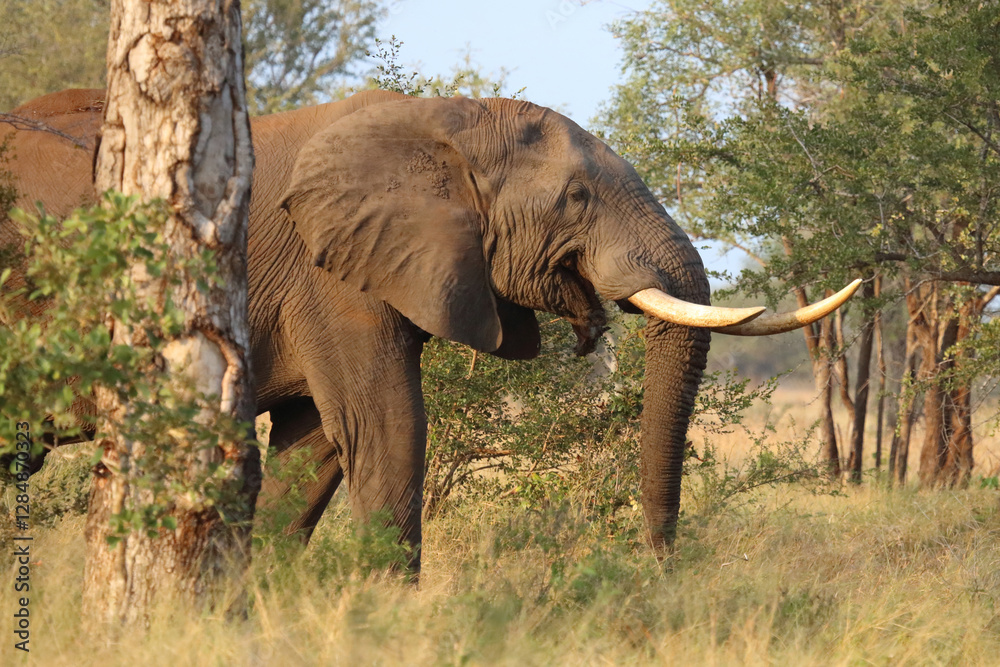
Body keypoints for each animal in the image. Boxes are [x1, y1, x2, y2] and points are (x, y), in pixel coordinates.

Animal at [1, 88, 858, 570]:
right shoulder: (332, 272)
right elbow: (385, 428)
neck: (447, 119)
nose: (661, 567)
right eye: (576, 198)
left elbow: (316, 447)